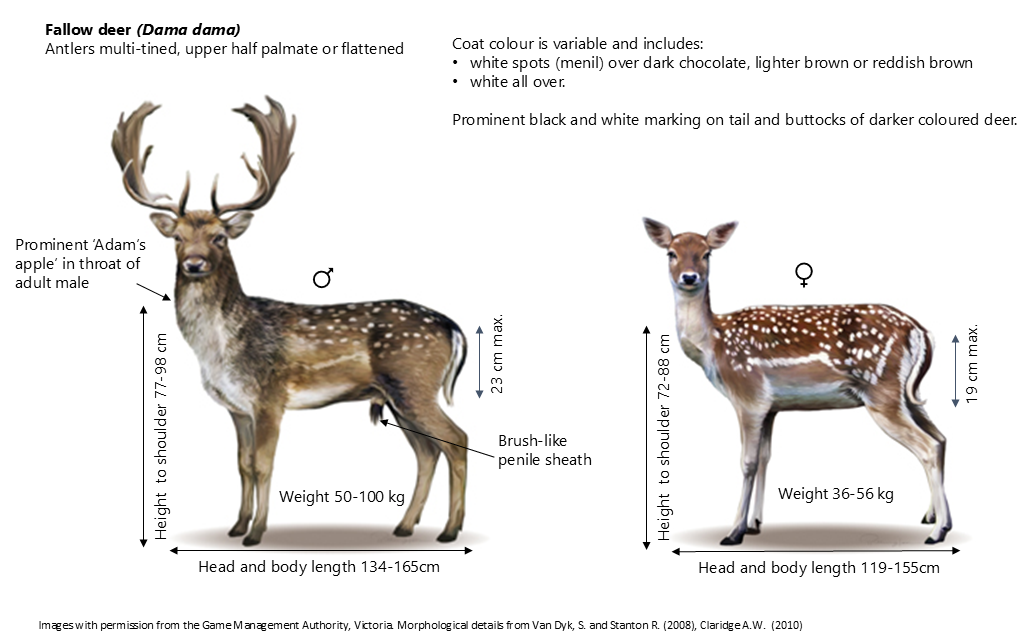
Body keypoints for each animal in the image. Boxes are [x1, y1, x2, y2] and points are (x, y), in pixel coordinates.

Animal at [113, 97, 470, 546]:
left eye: (219, 237)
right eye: (176, 237)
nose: (194, 264)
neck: (218, 352)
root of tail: (452, 327)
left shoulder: (269, 398)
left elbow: (263, 466)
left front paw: (256, 534)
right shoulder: (236, 408)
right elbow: (242, 465)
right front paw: (236, 526)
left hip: (414, 383)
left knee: (456, 440)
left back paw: (449, 531)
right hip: (396, 395)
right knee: (427, 451)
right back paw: (405, 527)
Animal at [643, 219, 951, 545]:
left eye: (706, 254)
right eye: (671, 253)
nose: (689, 277)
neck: (713, 343)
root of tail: (919, 330)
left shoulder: (747, 394)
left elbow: (747, 462)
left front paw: (734, 532)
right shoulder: (770, 406)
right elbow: (765, 458)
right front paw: (754, 523)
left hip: (882, 389)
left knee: (928, 446)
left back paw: (937, 531)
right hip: (908, 392)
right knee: (941, 439)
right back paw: (932, 517)